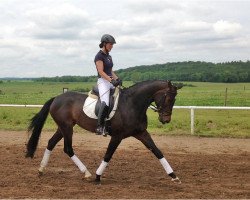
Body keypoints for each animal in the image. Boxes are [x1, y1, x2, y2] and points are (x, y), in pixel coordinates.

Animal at [25, 80, 182, 184]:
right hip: (67, 128)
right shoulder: (117, 136)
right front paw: (98, 176)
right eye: (168, 98)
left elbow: (157, 151)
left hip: (63, 128)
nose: (165, 119)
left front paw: (173, 175)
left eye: (174, 100)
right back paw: (87, 173)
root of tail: (56, 98)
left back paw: (41, 169)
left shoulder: (141, 133)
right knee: (68, 149)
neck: (132, 104)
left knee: (51, 143)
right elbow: (108, 155)